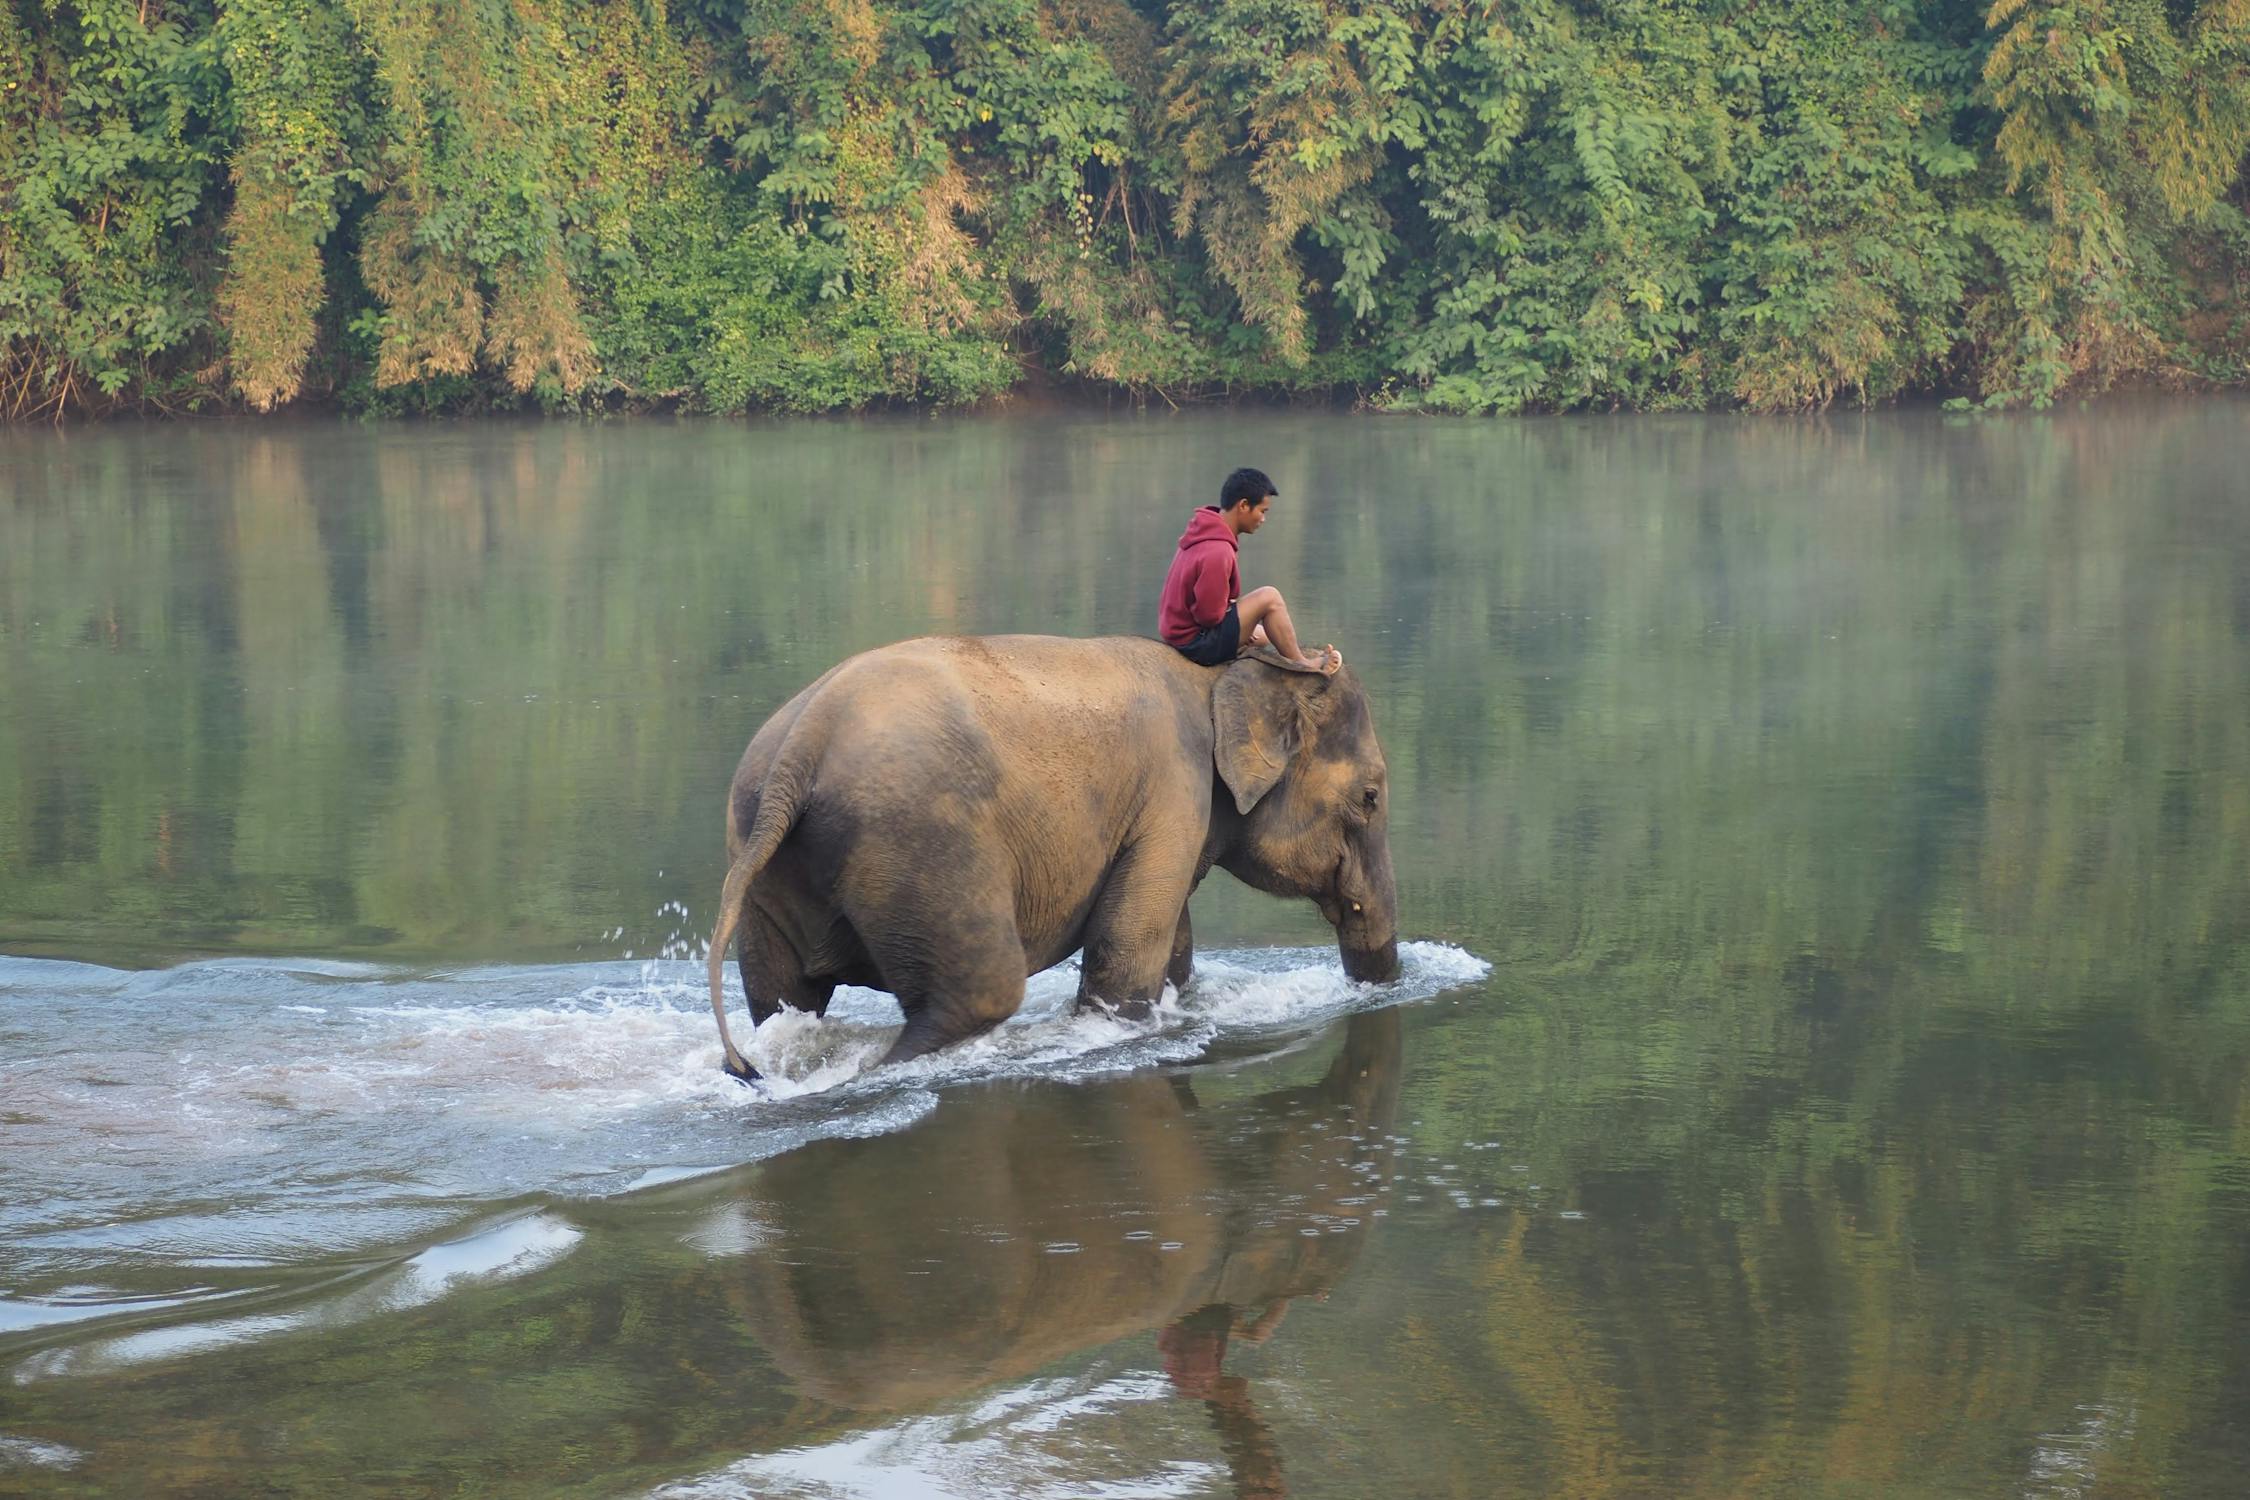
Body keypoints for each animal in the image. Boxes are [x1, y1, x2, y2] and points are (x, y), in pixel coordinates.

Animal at [704, 634, 1401, 1079]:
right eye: (1370, 796)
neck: (1218, 672)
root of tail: (801, 747)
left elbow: (1171, 949)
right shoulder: (1174, 793)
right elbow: (1125, 955)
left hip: (765, 853)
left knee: (782, 998)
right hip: (920, 845)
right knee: (981, 992)